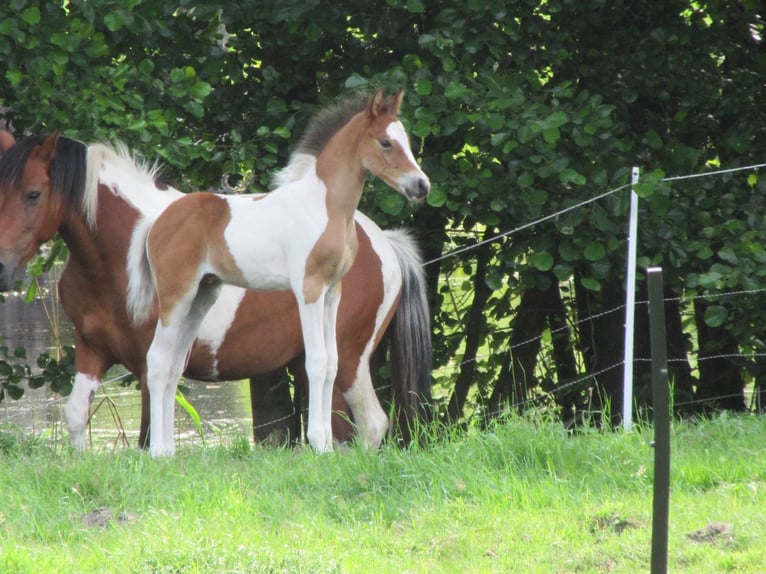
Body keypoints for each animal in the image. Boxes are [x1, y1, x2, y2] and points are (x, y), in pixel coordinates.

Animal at [0, 124, 432, 452]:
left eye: (33, 194)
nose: (3, 267)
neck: (129, 242)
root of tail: (385, 242)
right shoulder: (92, 350)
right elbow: (76, 417)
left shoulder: (147, 362)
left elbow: (146, 433)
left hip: (351, 363)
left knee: (370, 424)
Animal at [124, 89, 426, 460]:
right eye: (385, 142)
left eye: (407, 141)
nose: (421, 186)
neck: (324, 207)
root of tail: (158, 220)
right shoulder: (308, 290)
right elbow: (317, 362)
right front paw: (319, 444)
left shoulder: (332, 293)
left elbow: (331, 363)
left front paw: (326, 443)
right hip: (175, 297)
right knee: (156, 361)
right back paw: (157, 452)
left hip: (201, 297)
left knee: (173, 365)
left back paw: (167, 450)